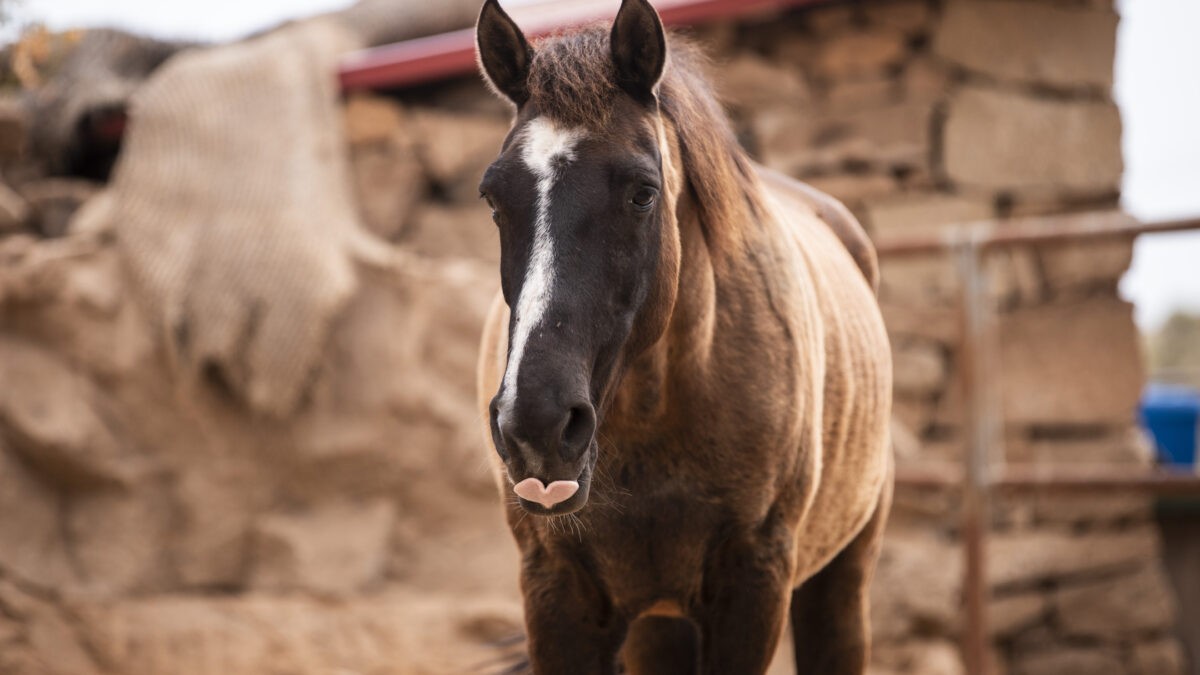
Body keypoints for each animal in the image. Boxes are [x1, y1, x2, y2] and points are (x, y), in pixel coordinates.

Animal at [472, 2, 897, 667]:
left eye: (644, 193)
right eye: (493, 199)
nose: (535, 426)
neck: (655, 420)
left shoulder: (754, 588)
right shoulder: (556, 593)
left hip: (840, 585)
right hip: (659, 623)